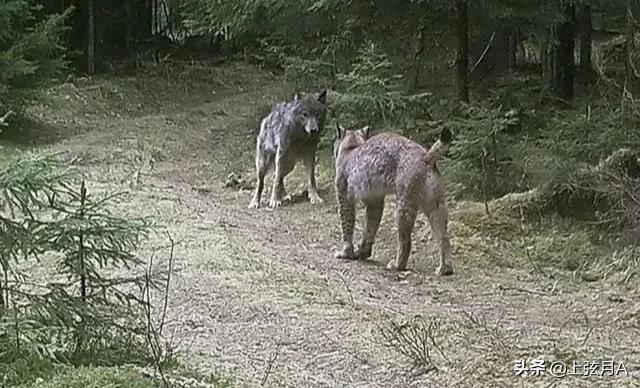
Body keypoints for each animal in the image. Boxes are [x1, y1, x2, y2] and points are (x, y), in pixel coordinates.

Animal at [332, 124, 452, 276]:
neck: (351, 146)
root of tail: (424, 155)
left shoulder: (344, 196)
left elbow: (347, 225)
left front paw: (346, 253)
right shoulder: (375, 200)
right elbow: (370, 227)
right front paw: (363, 252)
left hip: (404, 202)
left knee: (406, 240)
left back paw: (397, 265)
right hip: (436, 203)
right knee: (444, 237)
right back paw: (445, 268)